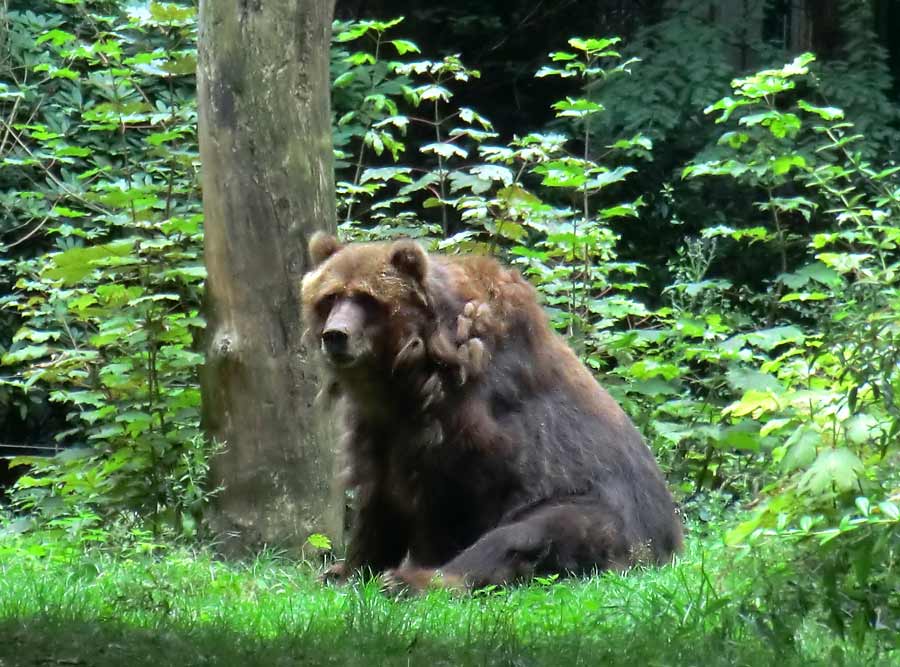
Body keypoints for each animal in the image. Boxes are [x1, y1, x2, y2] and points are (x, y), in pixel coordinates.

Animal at [302, 232, 684, 592]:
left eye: (367, 299)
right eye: (330, 297)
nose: (335, 335)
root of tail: (669, 546)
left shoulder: (470, 421)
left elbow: (452, 497)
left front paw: (415, 566)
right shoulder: (379, 425)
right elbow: (379, 496)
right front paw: (347, 570)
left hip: (603, 515)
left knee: (527, 534)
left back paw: (414, 582)